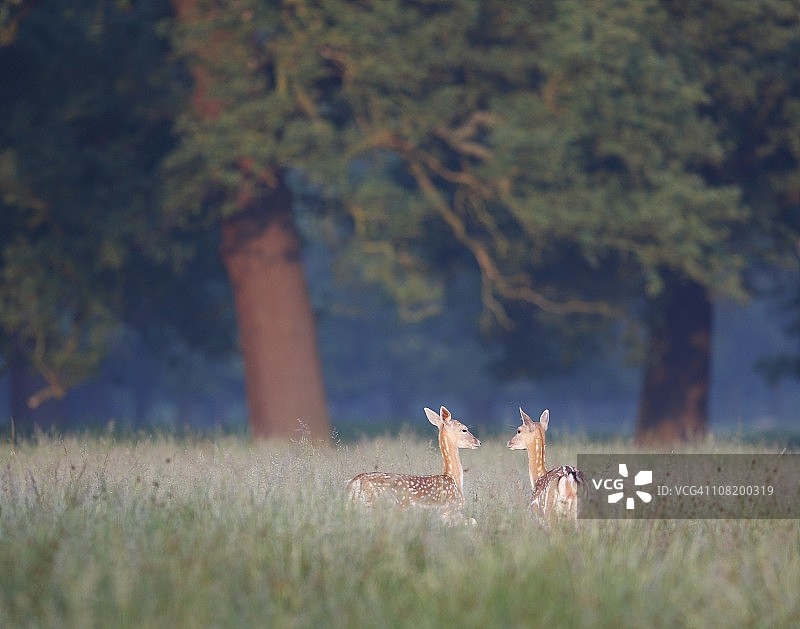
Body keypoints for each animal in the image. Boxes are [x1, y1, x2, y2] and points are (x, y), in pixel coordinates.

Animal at [346, 406, 481, 520]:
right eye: (464, 430)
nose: (478, 442)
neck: (453, 478)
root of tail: (354, 483)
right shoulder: (448, 510)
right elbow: (473, 521)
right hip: (373, 505)